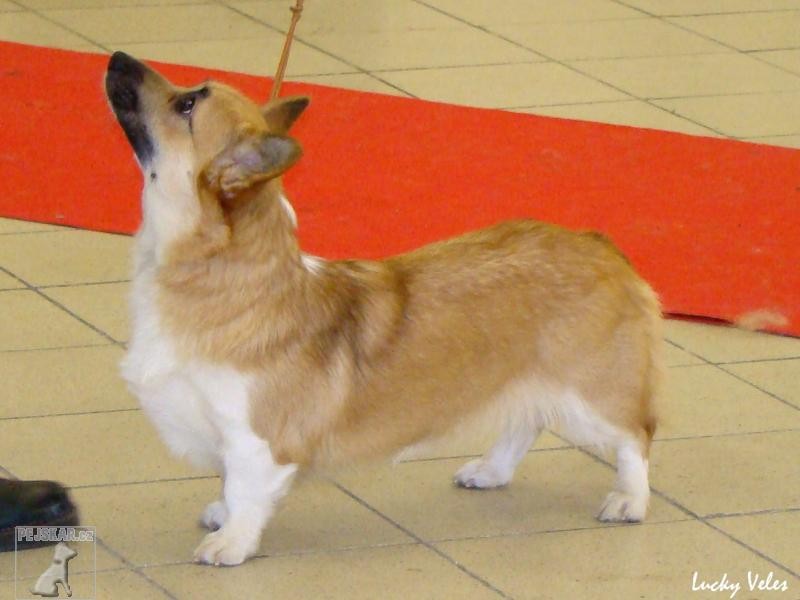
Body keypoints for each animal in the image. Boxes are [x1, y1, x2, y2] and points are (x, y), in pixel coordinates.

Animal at [104, 51, 664, 568]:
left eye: (187, 104)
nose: (117, 58)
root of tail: (600, 246)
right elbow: (228, 483)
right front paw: (222, 515)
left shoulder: (254, 439)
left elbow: (244, 489)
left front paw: (231, 542)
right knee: (527, 420)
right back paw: (491, 470)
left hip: (589, 397)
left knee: (635, 437)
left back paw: (629, 500)